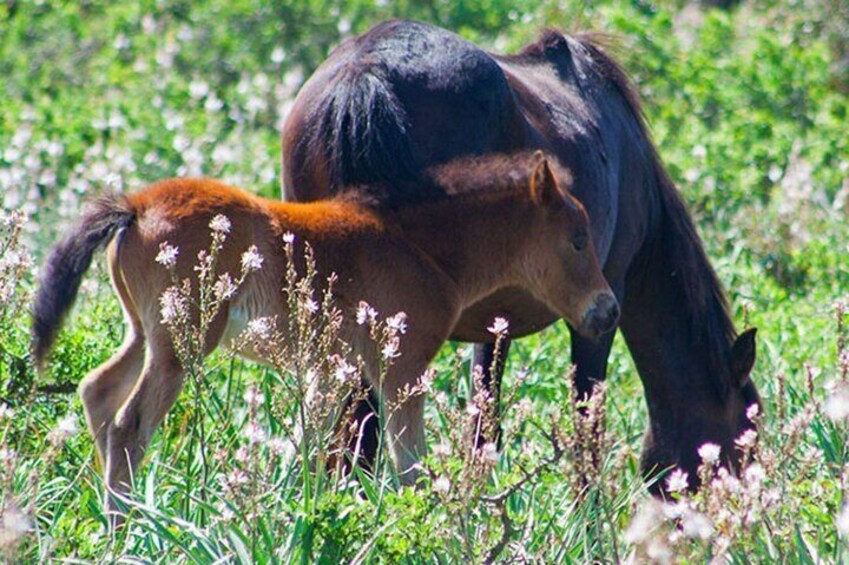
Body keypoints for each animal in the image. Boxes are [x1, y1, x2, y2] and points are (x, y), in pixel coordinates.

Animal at [31, 152, 618, 512]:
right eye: (577, 240)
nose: (607, 310)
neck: (418, 248)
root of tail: (135, 206)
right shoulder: (400, 369)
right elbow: (410, 467)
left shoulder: (335, 371)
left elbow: (315, 449)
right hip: (183, 342)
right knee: (130, 425)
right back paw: (125, 527)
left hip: (144, 332)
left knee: (98, 391)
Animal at [280, 19, 760, 487]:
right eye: (745, 442)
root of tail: (364, 72)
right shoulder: (600, 306)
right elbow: (585, 424)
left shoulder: (495, 322)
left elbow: (484, 422)